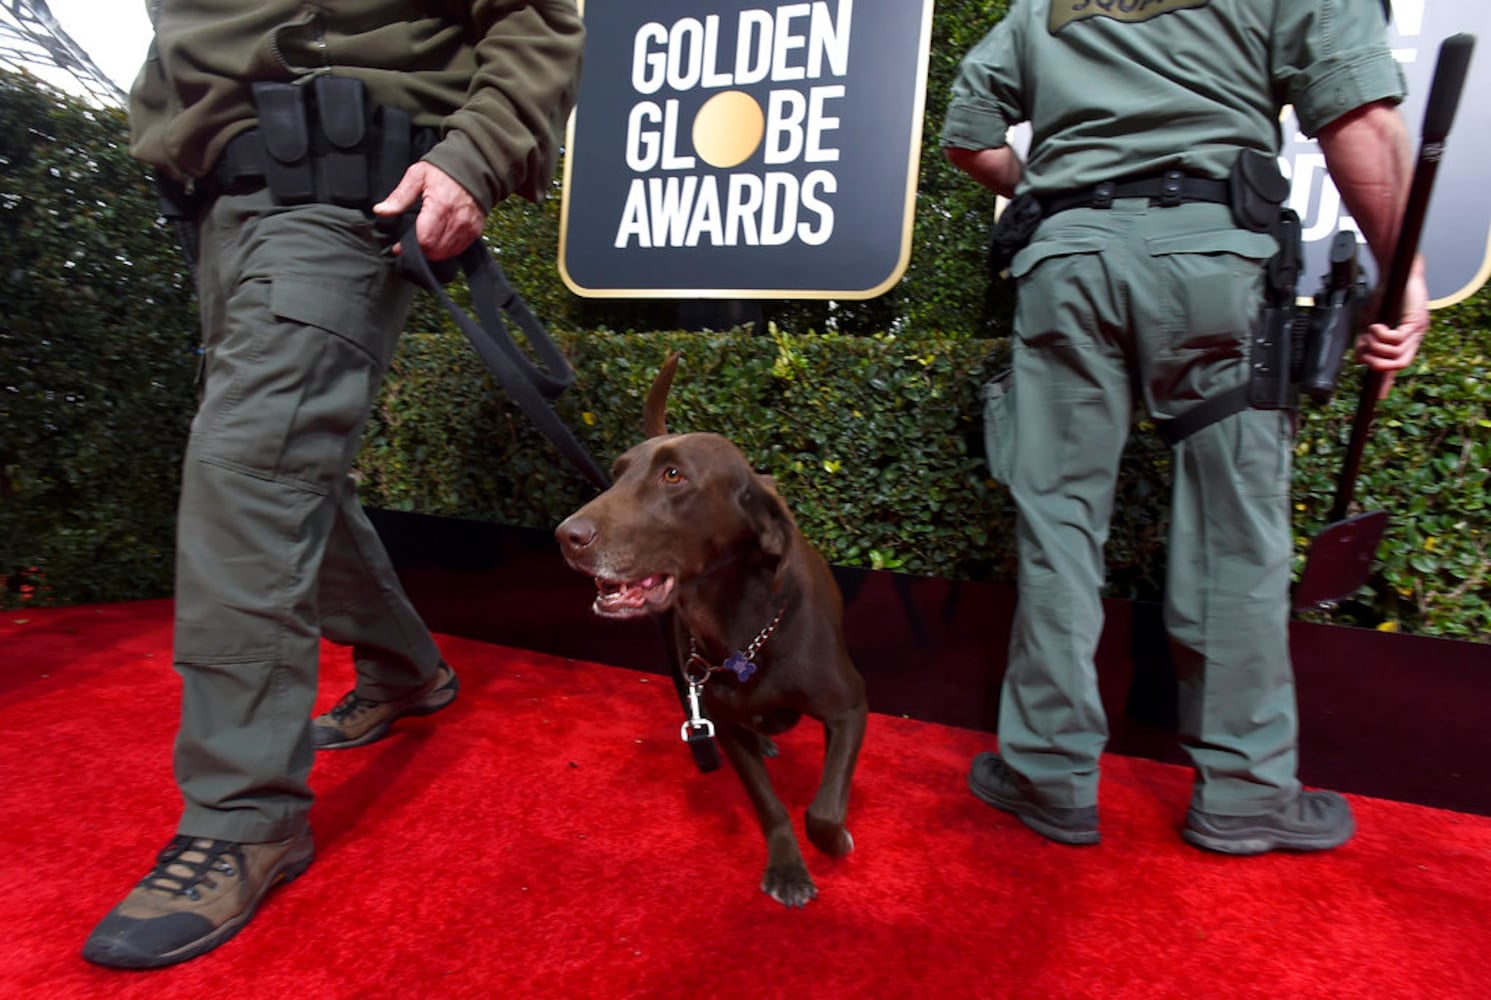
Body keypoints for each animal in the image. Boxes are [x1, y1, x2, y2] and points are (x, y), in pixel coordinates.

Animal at [557, 351, 864, 906]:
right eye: (616, 474)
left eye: (674, 475)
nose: (566, 536)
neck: (744, 631)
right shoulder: (724, 722)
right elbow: (770, 805)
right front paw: (787, 865)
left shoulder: (850, 706)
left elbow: (823, 811)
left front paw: (835, 842)